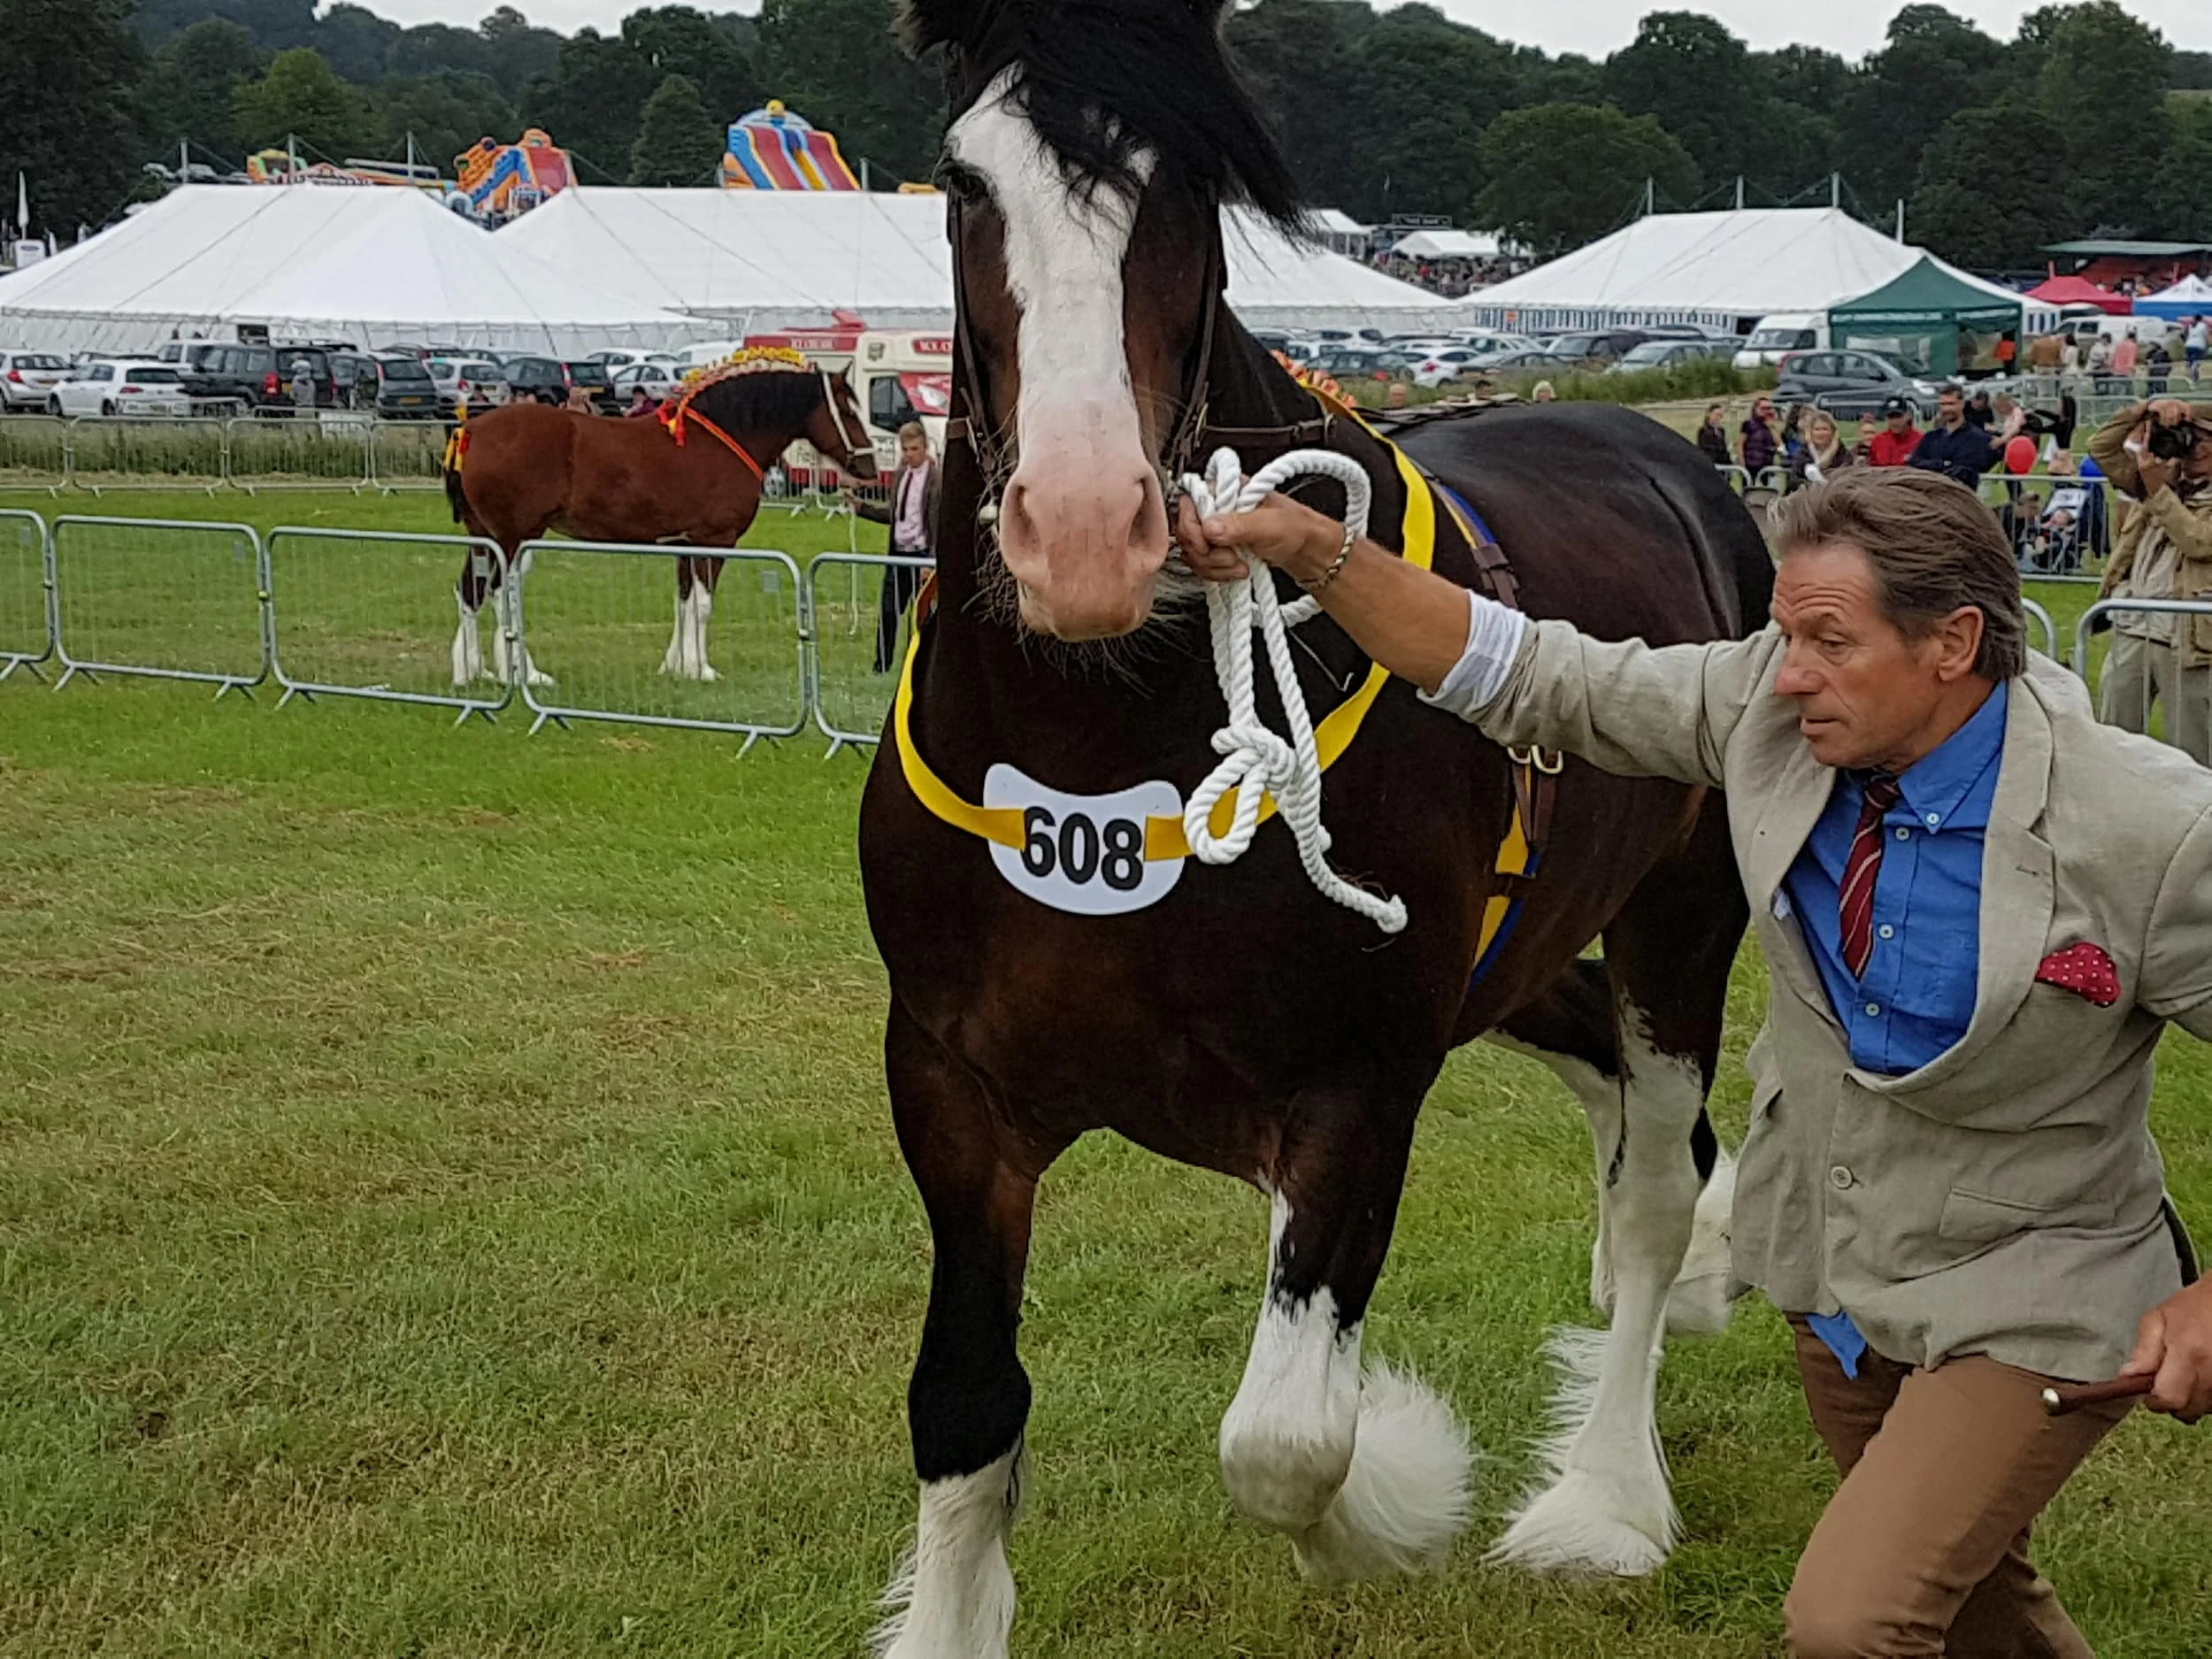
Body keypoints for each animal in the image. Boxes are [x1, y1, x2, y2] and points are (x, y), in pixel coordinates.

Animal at [438, 351, 872, 690]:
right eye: (849, 410)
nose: (869, 467)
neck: (721, 439)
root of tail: (470, 430)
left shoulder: (684, 543)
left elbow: (683, 602)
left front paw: (676, 666)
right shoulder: (715, 540)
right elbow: (702, 605)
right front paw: (701, 669)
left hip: (483, 535)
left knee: (470, 591)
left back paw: (471, 673)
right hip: (513, 538)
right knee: (501, 594)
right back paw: (523, 674)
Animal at [854, 6, 1770, 1655]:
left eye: (1192, 181)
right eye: (962, 181)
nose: (1082, 533)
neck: (1103, 741)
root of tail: (1679, 459)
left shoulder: (1357, 1092)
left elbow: (1290, 1439)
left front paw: (1395, 1494)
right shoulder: (952, 1088)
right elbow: (964, 1405)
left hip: (1684, 920)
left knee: (1660, 1180)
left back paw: (1606, 1495)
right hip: (1525, 957)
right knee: (1614, 1094)